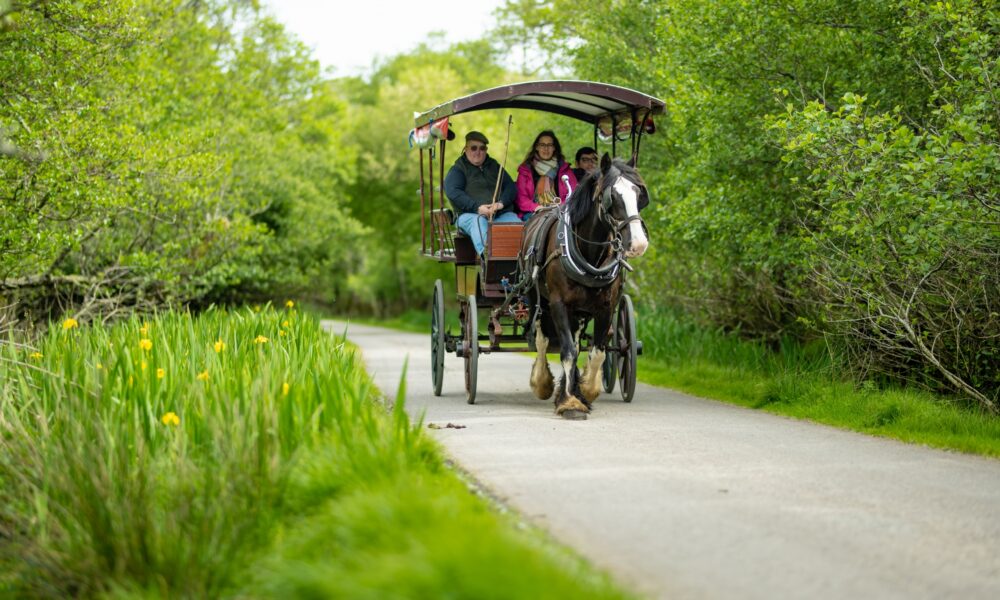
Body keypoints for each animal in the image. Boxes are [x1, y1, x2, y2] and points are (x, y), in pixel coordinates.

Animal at [519, 153, 650, 420]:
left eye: (638, 193)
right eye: (612, 196)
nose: (639, 243)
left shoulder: (606, 307)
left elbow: (596, 351)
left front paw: (586, 390)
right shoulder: (558, 303)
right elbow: (567, 350)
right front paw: (570, 402)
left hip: (580, 311)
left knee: (578, 341)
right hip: (536, 297)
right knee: (541, 339)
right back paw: (542, 382)